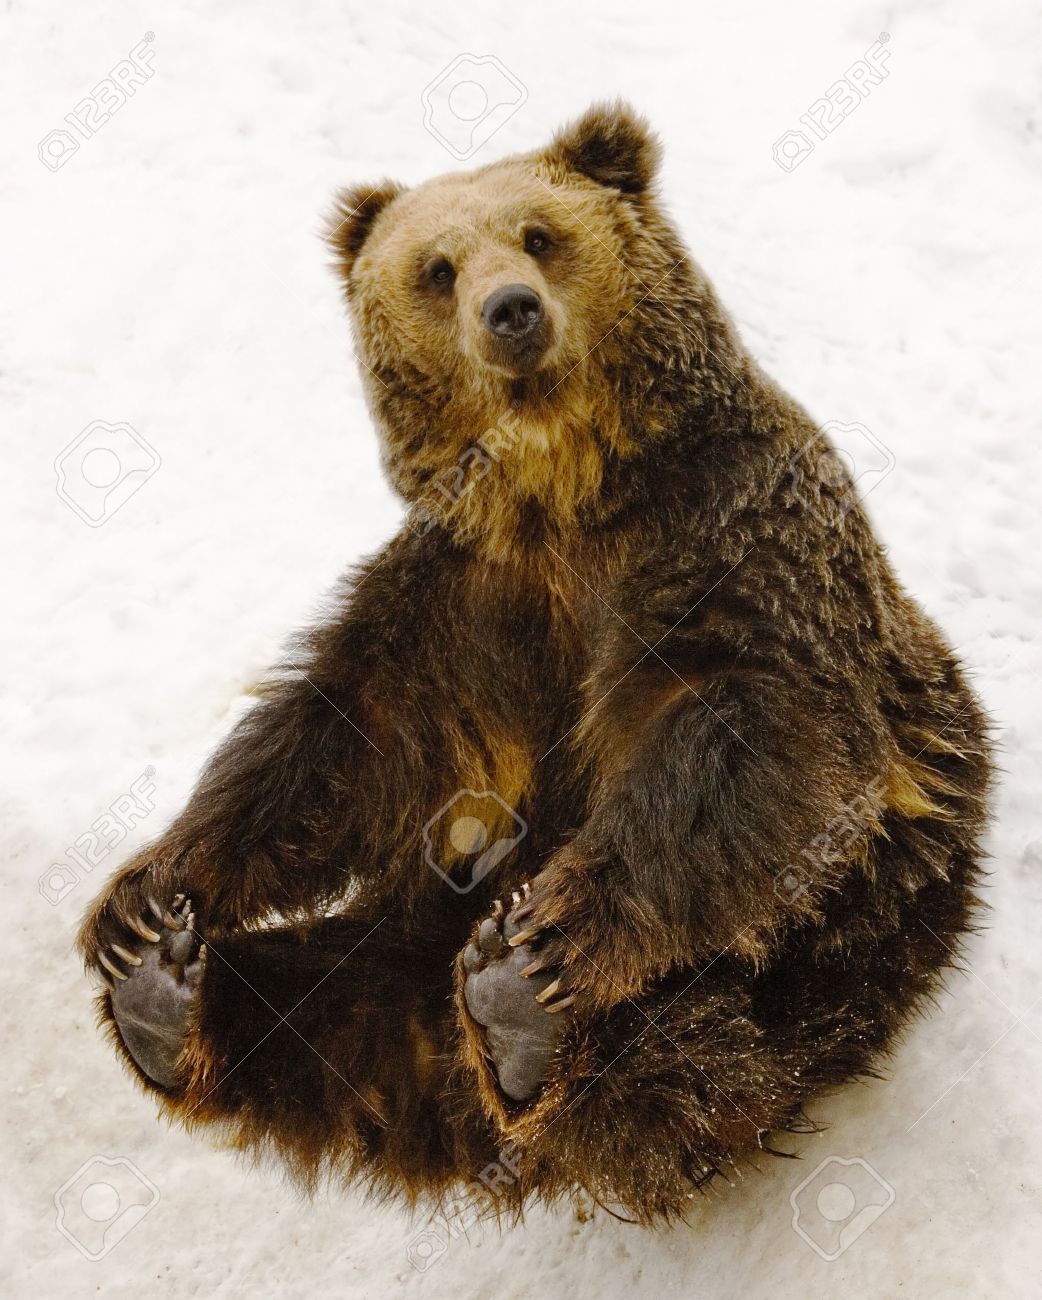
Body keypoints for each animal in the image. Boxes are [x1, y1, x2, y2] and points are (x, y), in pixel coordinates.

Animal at [78, 101, 992, 1223]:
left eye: (540, 234)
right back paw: (166, 997)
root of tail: (450, 1105)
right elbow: (343, 741)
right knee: (324, 1004)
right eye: (435, 267)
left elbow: (745, 733)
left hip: (838, 950)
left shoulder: (729, 532)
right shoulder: (462, 602)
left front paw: (551, 935)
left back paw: (523, 1020)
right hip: (404, 945)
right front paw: (143, 895)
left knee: (696, 1053)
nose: (509, 310)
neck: (561, 489)